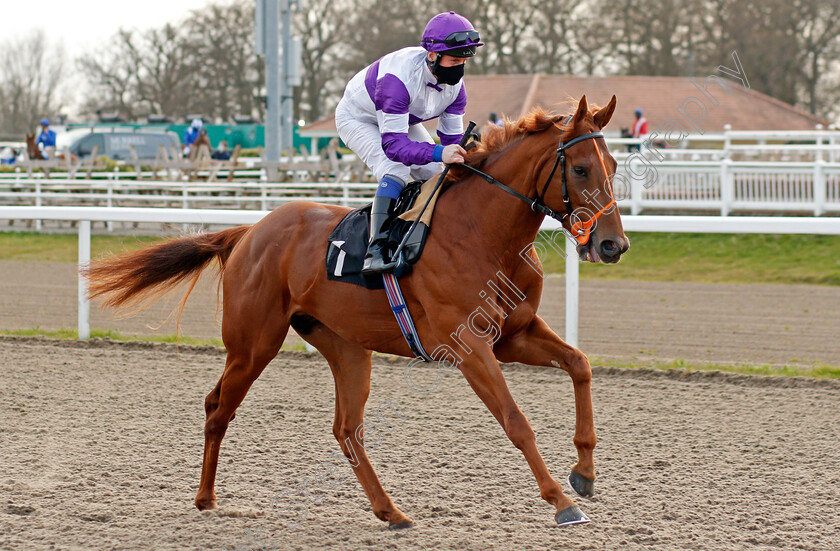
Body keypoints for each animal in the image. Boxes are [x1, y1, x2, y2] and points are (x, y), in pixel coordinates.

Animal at [88, 96, 632, 532]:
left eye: (613, 166)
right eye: (580, 169)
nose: (613, 245)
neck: (482, 232)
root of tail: (247, 232)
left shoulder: (512, 335)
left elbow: (580, 364)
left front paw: (584, 473)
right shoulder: (468, 346)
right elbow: (516, 421)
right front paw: (561, 502)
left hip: (346, 347)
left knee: (346, 429)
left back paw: (391, 511)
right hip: (253, 343)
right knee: (218, 406)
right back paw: (205, 498)